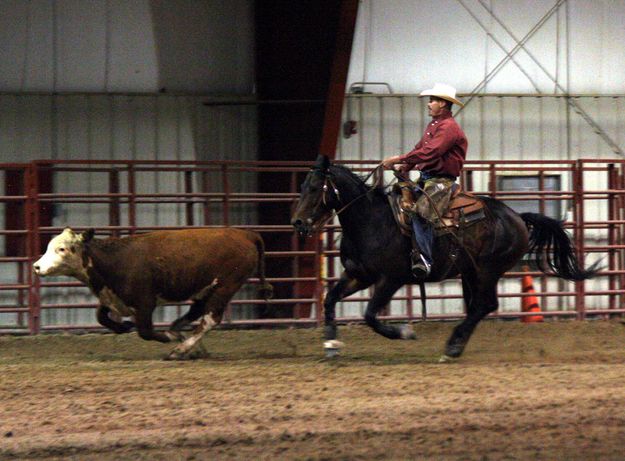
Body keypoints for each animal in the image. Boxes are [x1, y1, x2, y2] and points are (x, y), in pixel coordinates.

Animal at [31, 227, 270, 360]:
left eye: (62, 249)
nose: (36, 267)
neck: (113, 260)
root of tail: (246, 234)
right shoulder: (112, 297)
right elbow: (101, 317)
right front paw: (124, 326)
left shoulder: (145, 301)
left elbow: (145, 331)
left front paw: (166, 338)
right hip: (206, 289)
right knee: (196, 312)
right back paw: (183, 339)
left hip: (226, 286)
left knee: (209, 320)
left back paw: (180, 349)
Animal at [292, 155, 596, 360]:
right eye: (303, 186)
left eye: (315, 188)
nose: (297, 223)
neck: (371, 221)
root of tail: (518, 218)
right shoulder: (358, 275)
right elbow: (329, 300)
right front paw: (331, 345)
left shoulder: (390, 279)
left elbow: (370, 315)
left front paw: (404, 332)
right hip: (471, 272)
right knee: (479, 307)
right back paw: (456, 345)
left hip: (487, 270)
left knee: (484, 304)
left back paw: (452, 347)